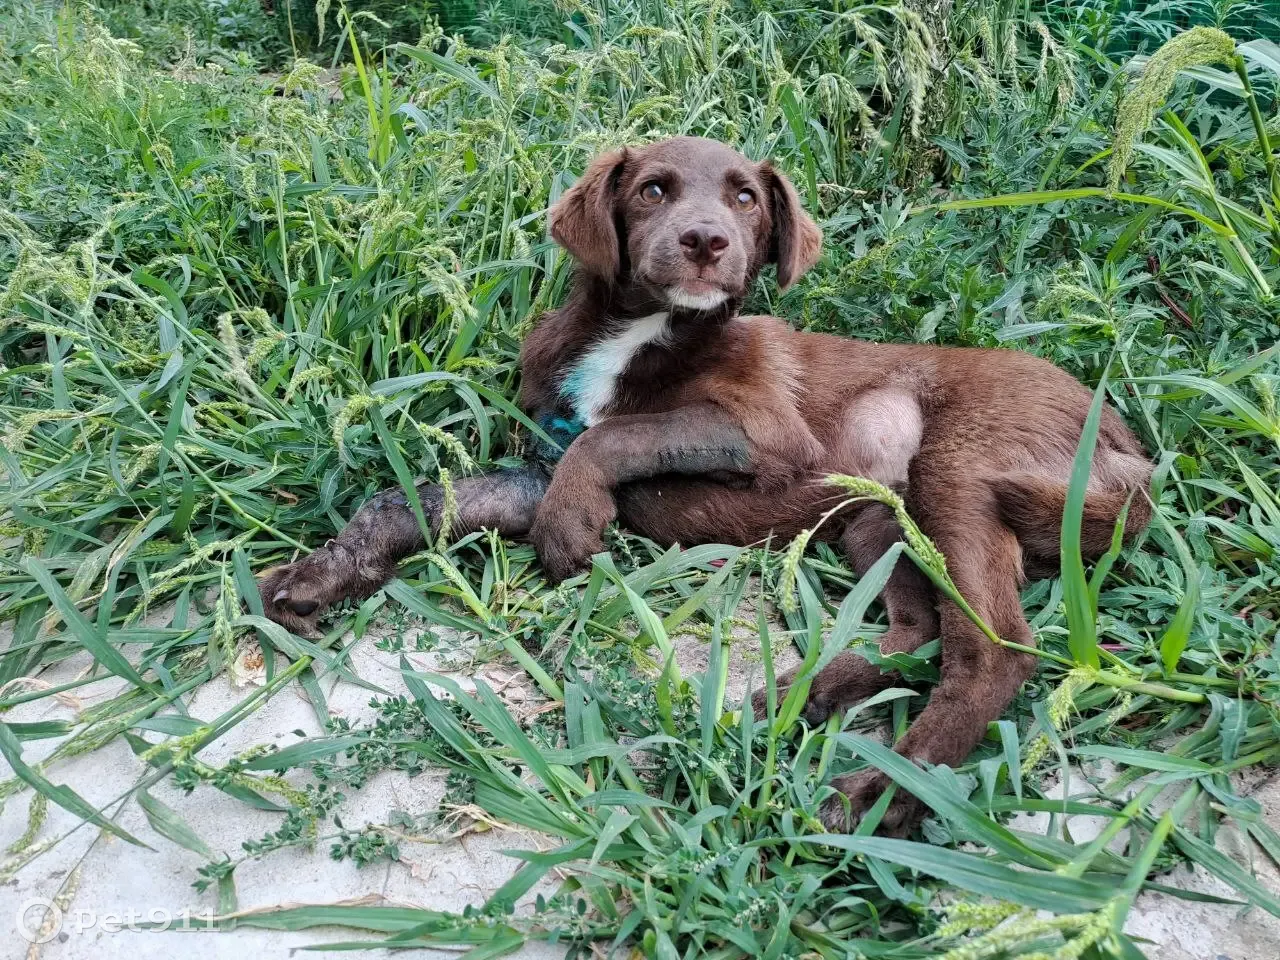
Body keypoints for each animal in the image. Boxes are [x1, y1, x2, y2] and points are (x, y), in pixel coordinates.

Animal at [259, 138, 1152, 839]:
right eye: (653, 189)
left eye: (746, 197)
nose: (705, 242)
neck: (639, 334)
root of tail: (1129, 450)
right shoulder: (539, 465)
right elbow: (412, 501)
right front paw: (320, 577)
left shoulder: (766, 432)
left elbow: (622, 435)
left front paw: (569, 531)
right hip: (876, 516)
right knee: (913, 632)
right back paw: (786, 704)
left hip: (951, 473)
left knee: (993, 649)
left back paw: (879, 791)